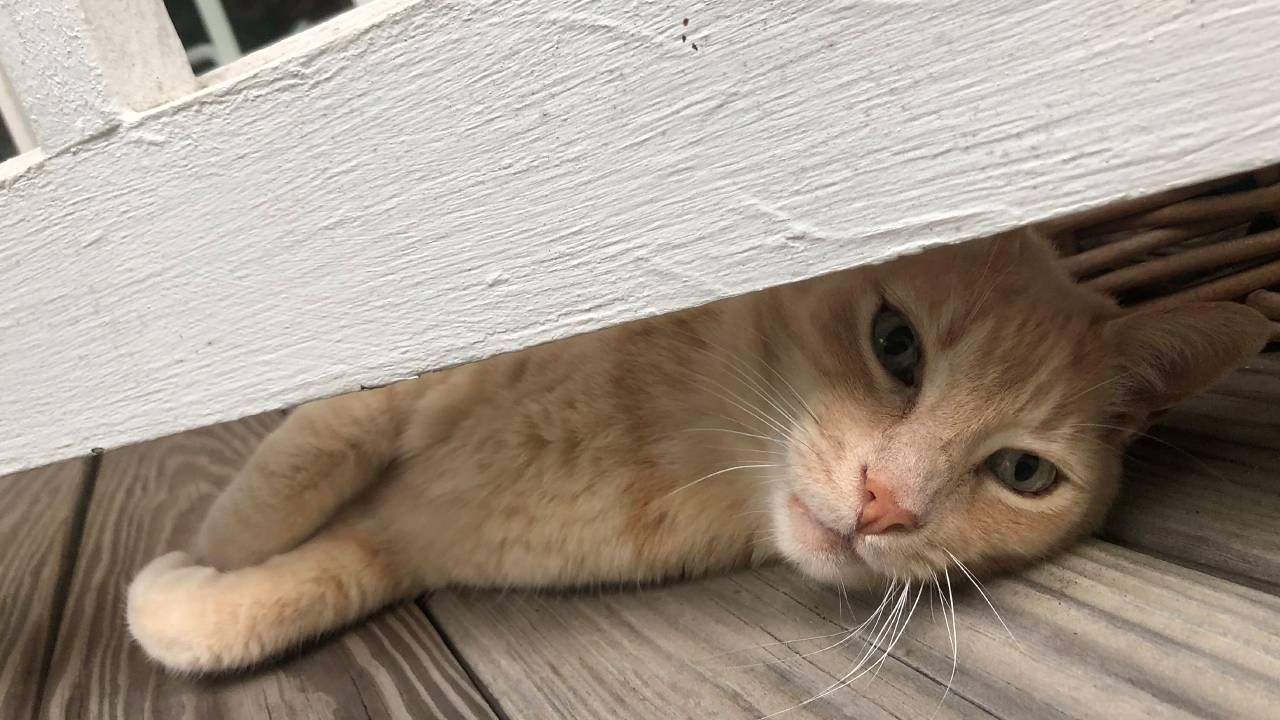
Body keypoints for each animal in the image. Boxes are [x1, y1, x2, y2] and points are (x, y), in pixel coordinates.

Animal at [124, 226, 1264, 671]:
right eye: (894, 343)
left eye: (1023, 473)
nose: (884, 504)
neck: (655, 437)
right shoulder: (396, 388)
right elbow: (293, 467)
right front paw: (211, 545)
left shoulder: (403, 547)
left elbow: (279, 599)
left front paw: (186, 596)